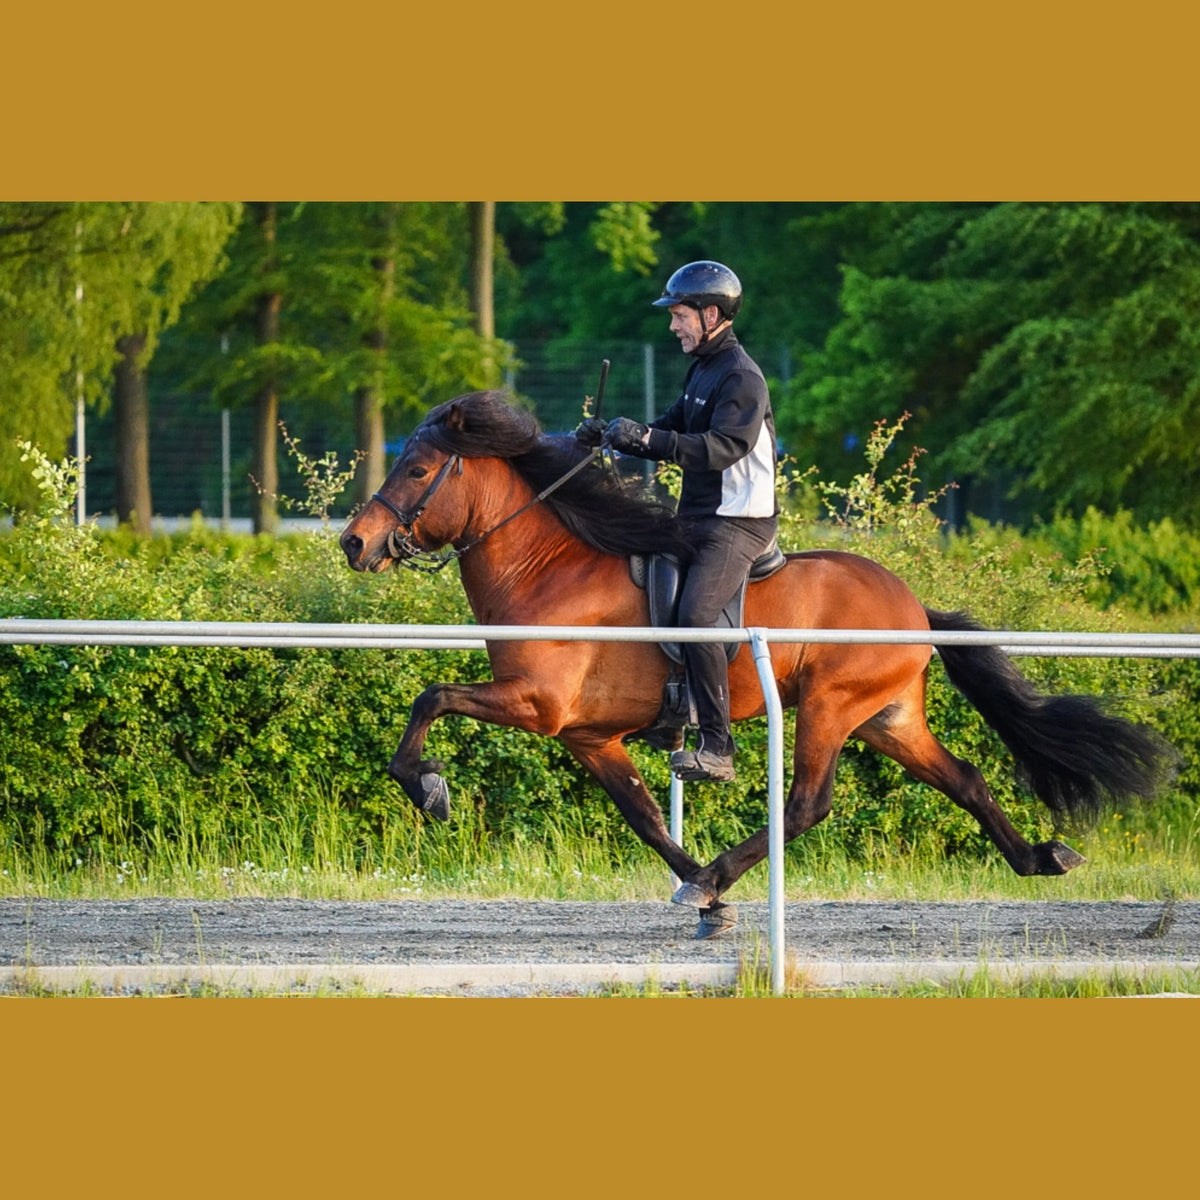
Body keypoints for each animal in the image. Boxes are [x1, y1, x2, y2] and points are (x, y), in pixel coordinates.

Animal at [338, 391, 1171, 936]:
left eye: (418, 469)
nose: (353, 542)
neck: (546, 569)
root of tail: (911, 602)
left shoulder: (535, 704)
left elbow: (431, 695)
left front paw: (427, 785)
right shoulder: (588, 736)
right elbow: (645, 819)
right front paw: (702, 895)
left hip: (830, 708)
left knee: (806, 805)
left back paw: (728, 865)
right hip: (889, 718)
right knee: (965, 778)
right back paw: (1040, 857)